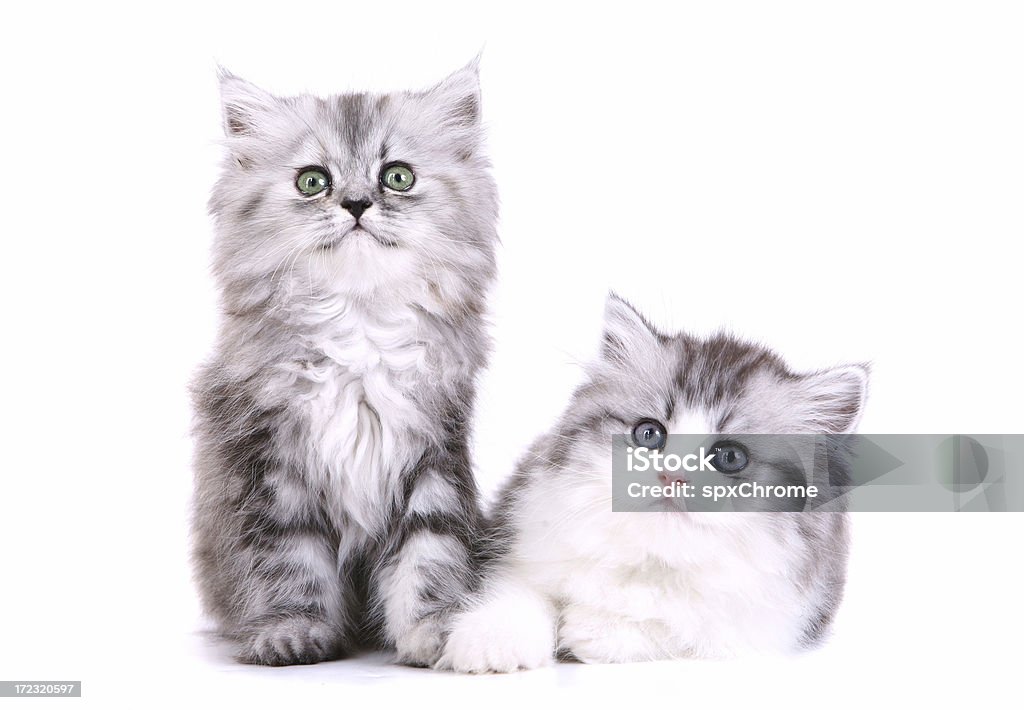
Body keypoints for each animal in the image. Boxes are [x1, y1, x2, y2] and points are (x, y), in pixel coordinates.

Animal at [192, 63, 499, 667]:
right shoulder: (273, 471)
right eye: (313, 182)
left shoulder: (432, 459)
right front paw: (292, 633)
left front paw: (434, 633)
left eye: (398, 177)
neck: (360, 326)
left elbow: (428, 556)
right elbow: (289, 562)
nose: (356, 204)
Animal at [436, 293, 868, 672]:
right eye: (649, 434)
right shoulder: (520, 551)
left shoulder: (769, 623)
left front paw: (592, 627)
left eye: (730, 457)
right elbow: (516, 596)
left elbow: (677, 624)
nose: (671, 476)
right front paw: (492, 643)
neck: (649, 558)